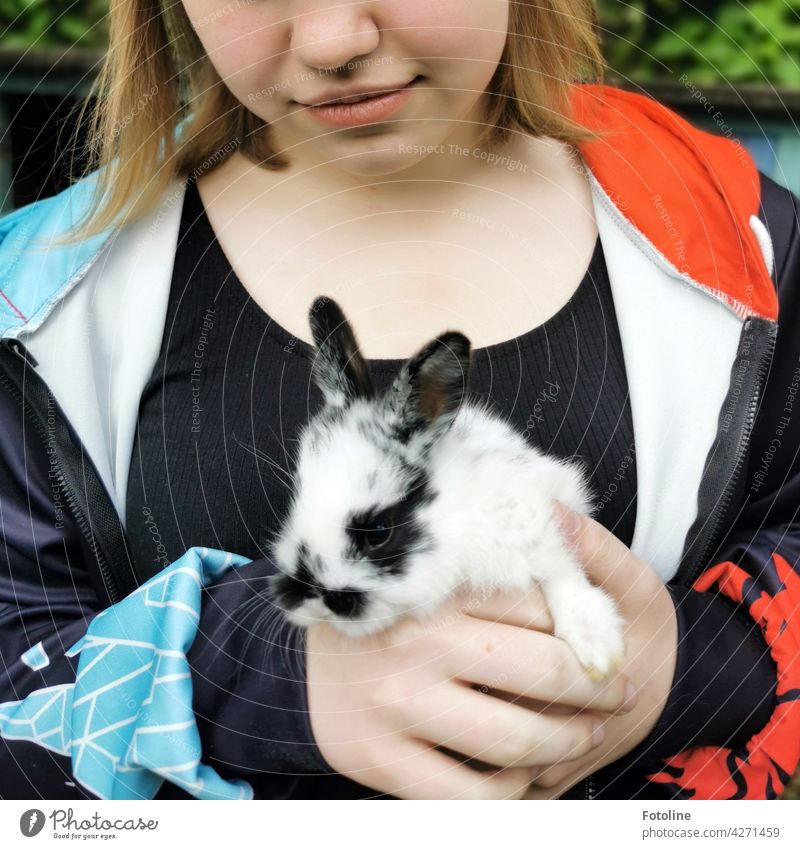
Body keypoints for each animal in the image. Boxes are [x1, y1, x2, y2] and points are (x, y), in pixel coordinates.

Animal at [268, 294, 624, 680]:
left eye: (378, 532)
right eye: (296, 503)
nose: (315, 600)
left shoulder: (539, 514)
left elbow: (561, 571)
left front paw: (598, 646)